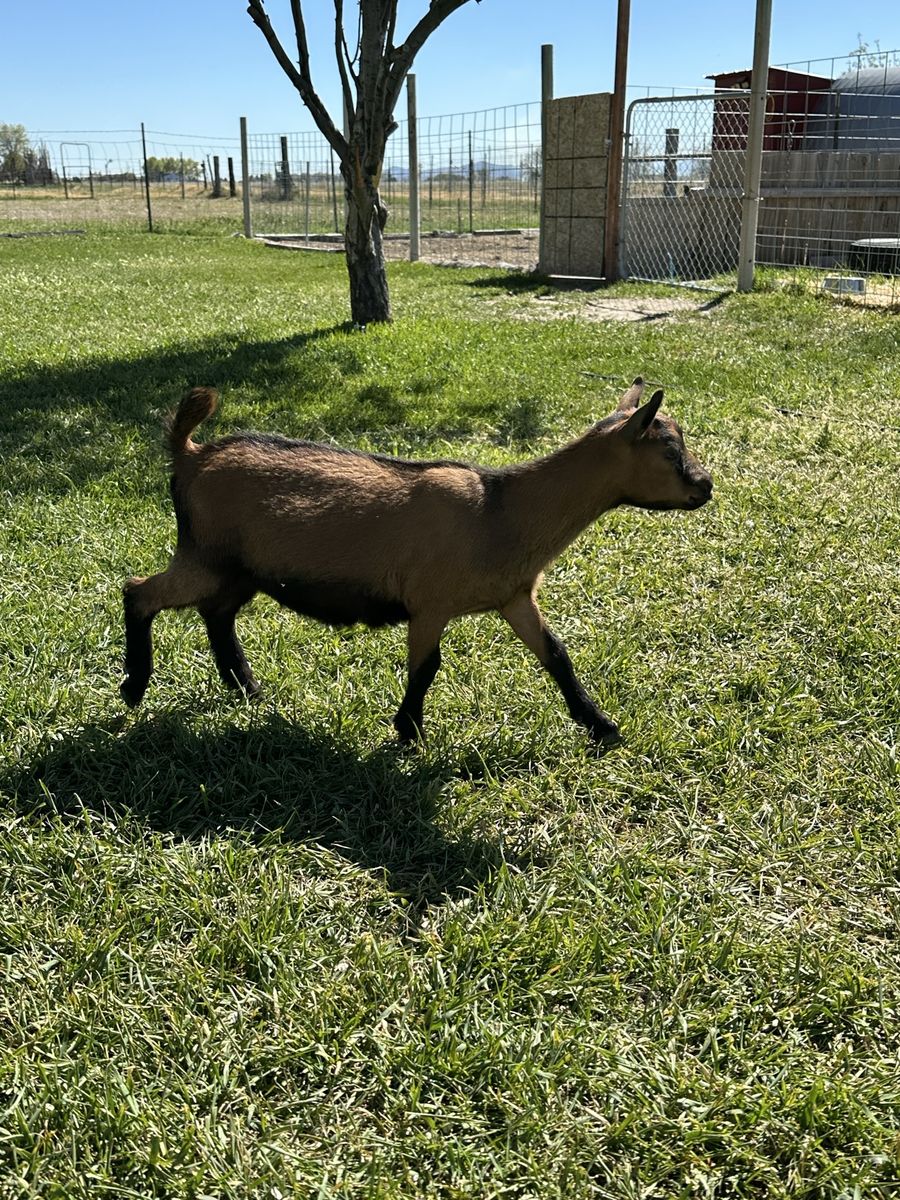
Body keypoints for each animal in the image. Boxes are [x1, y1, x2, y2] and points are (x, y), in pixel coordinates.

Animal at [121, 378, 712, 746]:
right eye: (668, 451)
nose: (705, 486)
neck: (500, 512)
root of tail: (191, 454)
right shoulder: (430, 603)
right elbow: (427, 667)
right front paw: (408, 732)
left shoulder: (514, 597)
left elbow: (556, 655)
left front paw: (601, 726)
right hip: (204, 554)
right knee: (139, 591)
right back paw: (134, 687)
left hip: (237, 568)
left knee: (217, 614)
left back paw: (247, 688)